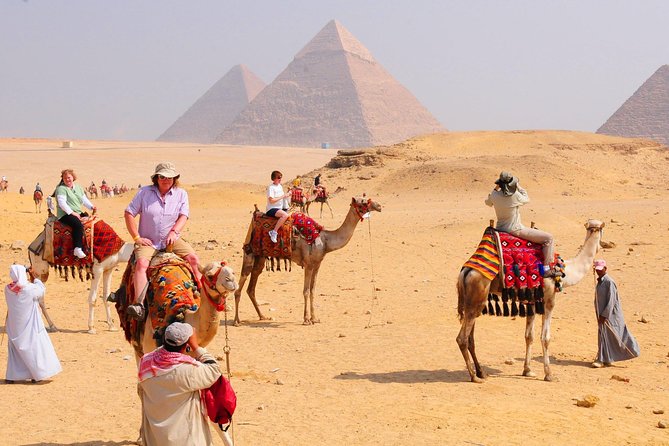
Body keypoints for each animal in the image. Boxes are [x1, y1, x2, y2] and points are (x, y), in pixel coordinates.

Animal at [234, 195, 382, 325]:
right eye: (363, 202)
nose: (379, 205)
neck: (324, 240)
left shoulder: (317, 265)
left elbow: (312, 290)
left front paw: (315, 318)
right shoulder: (308, 264)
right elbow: (305, 291)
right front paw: (306, 319)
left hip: (260, 258)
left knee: (251, 288)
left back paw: (263, 316)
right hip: (249, 254)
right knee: (239, 287)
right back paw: (237, 321)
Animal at [456, 219, 604, 383]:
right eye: (603, 230)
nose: (604, 244)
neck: (566, 271)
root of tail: (466, 271)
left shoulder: (532, 302)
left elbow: (529, 336)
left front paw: (527, 370)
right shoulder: (549, 300)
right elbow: (545, 338)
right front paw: (549, 374)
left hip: (473, 301)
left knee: (470, 338)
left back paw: (481, 372)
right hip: (477, 295)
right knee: (462, 339)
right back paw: (474, 377)